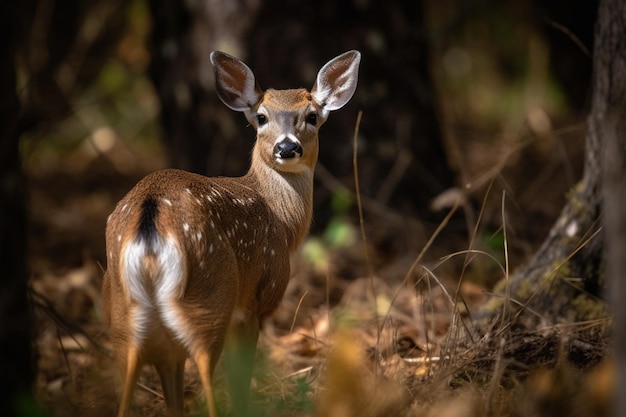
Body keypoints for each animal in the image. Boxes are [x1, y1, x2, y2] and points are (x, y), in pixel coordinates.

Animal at [100, 49, 358, 416]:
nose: (287, 148)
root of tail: (151, 224)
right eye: (261, 117)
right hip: (211, 297)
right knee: (207, 371)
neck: (281, 221)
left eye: (311, 116)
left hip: (122, 314)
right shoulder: (258, 300)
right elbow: (241, 378)